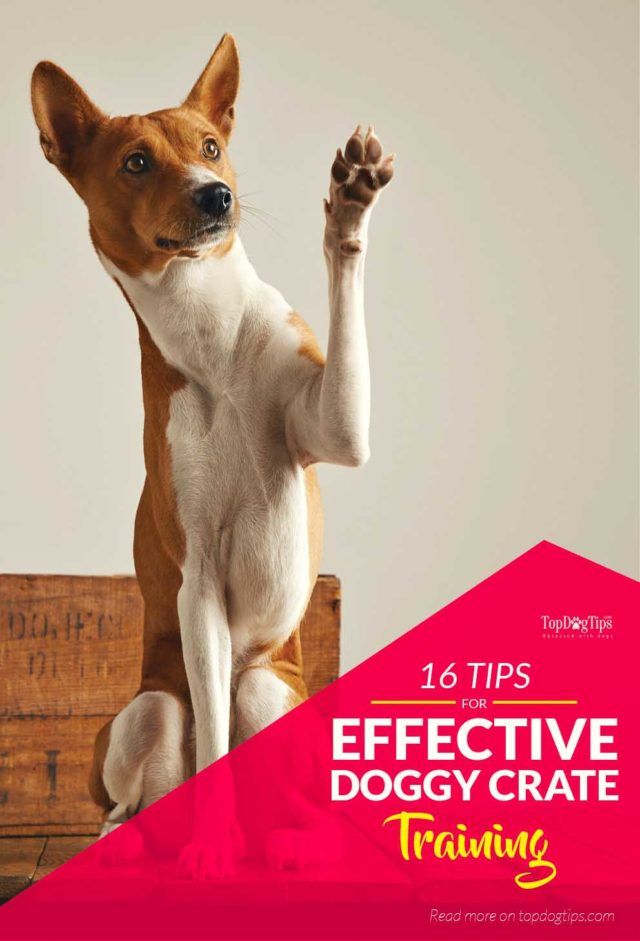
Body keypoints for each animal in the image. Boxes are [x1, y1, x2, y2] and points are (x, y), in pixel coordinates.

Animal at [31, 35, 396, 872]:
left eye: (209, 147)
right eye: (136, 161)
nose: (214, 197)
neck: (212, 334)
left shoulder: (336, 426)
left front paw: (350, 204)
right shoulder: (196, 581)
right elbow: (213, 757)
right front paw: (210, 846)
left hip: (266, 690)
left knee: (274, 767)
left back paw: (299, 839)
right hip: (151, 708)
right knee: (160, 773)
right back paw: (129, 838)